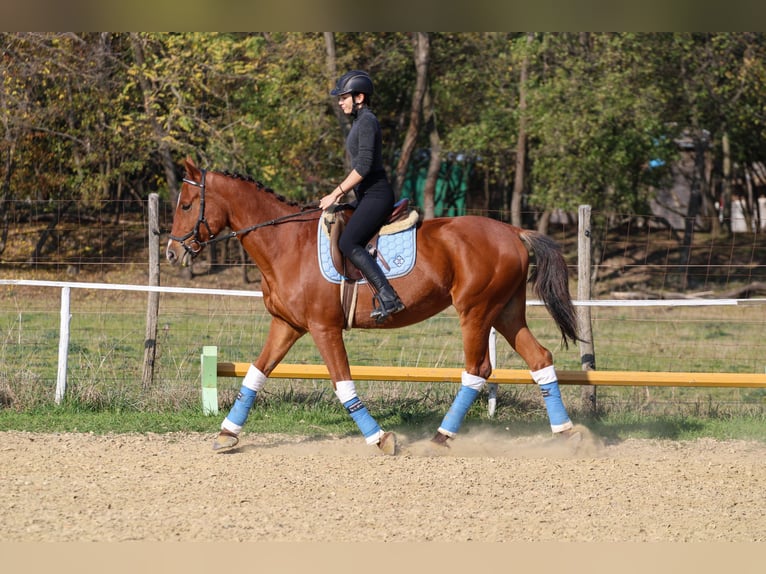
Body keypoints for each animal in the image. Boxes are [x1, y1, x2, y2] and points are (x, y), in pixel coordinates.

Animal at [166, 158, 584, 454]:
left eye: (186, 205)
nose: (171, 252)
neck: (285, 243)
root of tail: (513, 230)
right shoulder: (287, 325)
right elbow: (255, 374)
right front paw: (226, 434)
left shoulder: (324, 328)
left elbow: (343, 385)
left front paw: (381, 438)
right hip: (505, 311)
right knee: (540, 358)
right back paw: (566, 433)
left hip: (476, 312)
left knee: (477, 370)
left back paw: (441, 436)